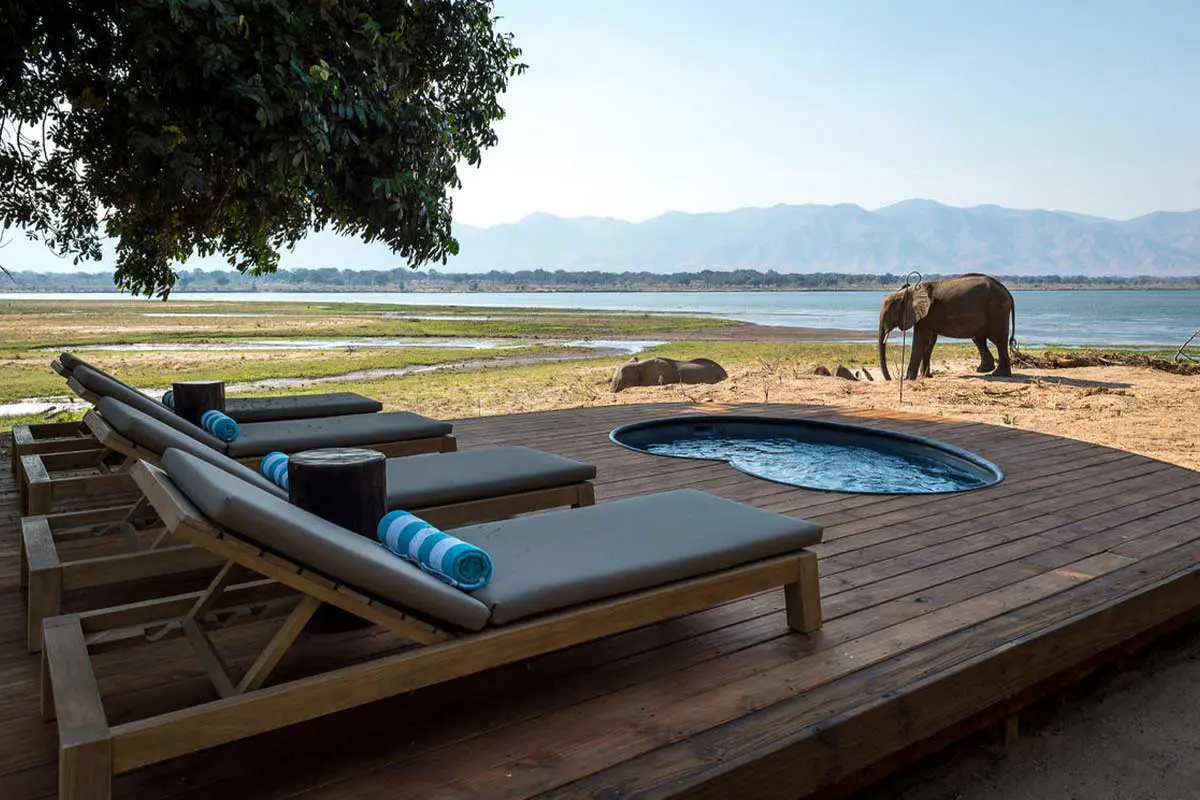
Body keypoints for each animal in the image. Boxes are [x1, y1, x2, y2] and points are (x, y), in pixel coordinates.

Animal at [878, 273, 1017, 381]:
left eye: (889, 313)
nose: (889, 378)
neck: (911, 290)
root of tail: (1008, 292)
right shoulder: (928, 317)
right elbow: (929, 342)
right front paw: (926, 376)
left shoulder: (926, 314)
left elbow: (920, 340)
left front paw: (908, 379)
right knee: (979, 339)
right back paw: (983, 370)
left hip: (997, 310)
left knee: (998, 340)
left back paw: (999, 374)